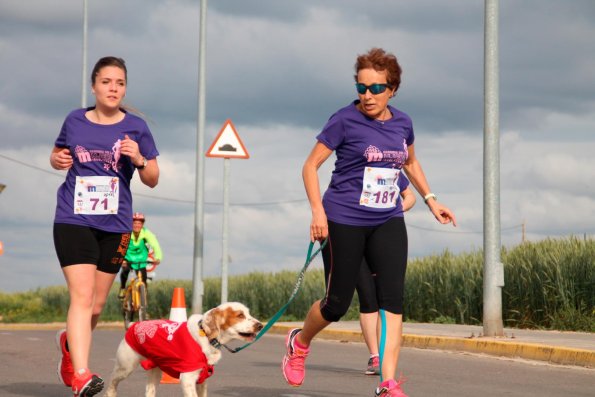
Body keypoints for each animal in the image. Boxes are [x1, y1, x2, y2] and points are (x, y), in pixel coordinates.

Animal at [105, 300, 264, 396]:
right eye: (240, 315)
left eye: (248, 313)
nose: (261, 325)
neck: (207, 337)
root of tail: (134, 324)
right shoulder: (188, 378)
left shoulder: (202, 380)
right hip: (125, 367)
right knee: (111, 382)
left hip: (155, 372)